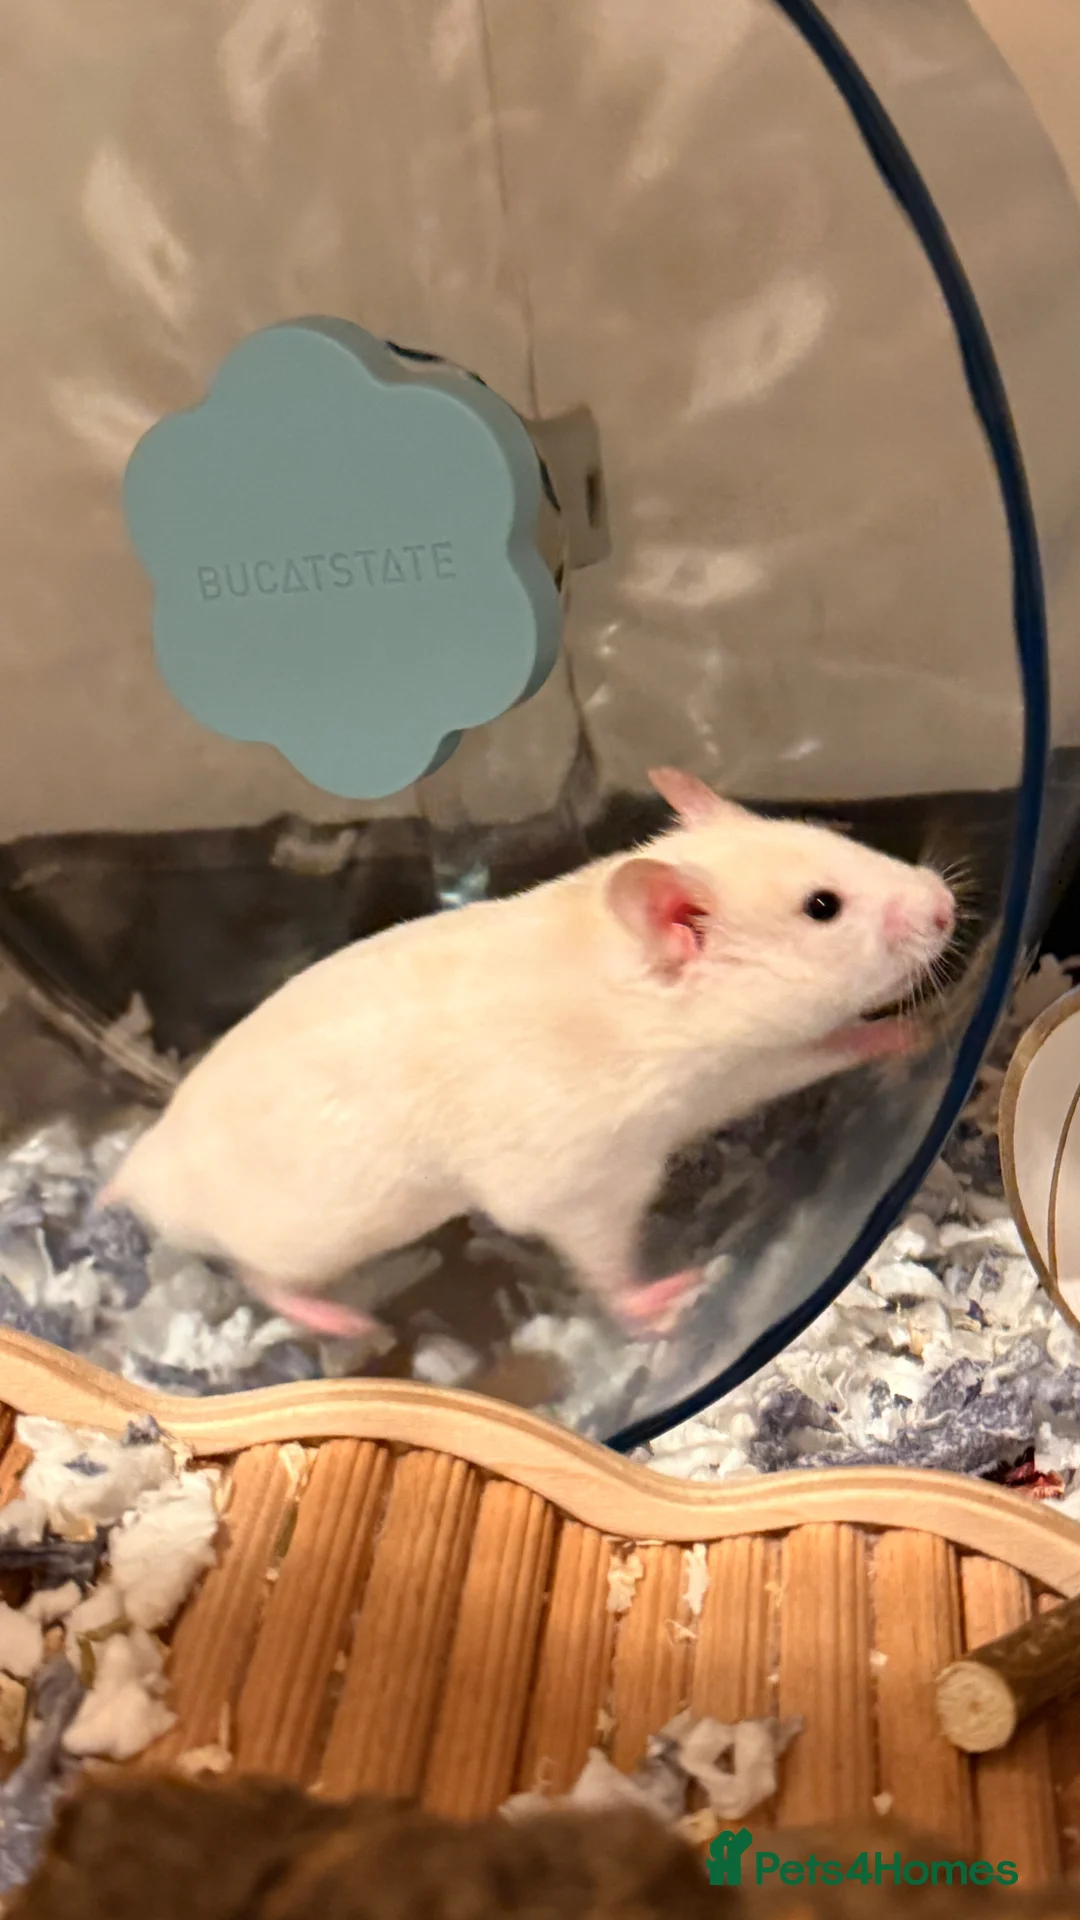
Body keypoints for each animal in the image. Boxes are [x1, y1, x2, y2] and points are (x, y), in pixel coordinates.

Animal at [100, 768, 955, 1339]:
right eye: (823, 907)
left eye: (830, 833)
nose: (948, 902)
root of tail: (141, 1170)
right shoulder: (587, 1177)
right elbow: (601, 1255)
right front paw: (666, 1299)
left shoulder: (740, 1075)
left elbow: (817, 1050)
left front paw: (923, 1022)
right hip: (301, 1235)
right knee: (258, 1276)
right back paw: (345, 1323)